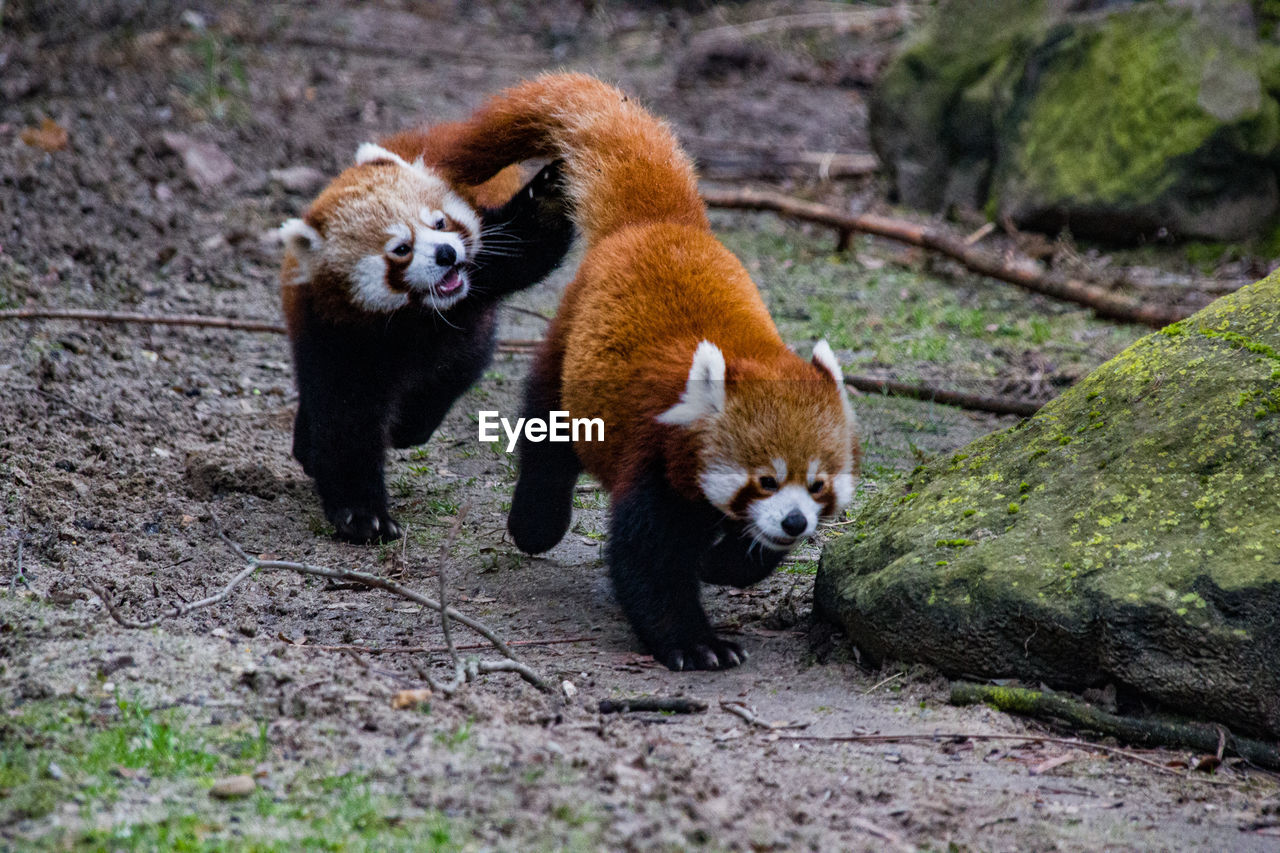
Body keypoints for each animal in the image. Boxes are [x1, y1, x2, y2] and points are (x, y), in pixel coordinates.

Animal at [281, 128, 576, 537]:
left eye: (440, 224)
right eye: (401, 248)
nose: (446, 254)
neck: (415, 317)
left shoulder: (481, 276)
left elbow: (526, 243)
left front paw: (550, 190)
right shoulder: (337, 337)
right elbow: (346, 423)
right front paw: (363, 516)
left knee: (453, 375)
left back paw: (410, 426)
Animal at [435, 73, 865, 666]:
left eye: (817, 484)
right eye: (765, 479)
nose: (795, 520)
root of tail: (658, 222)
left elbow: (744, 554)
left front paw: (723, 563)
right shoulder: (654, 456)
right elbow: (649, 563)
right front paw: (696, 643)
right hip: (567, 342)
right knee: (548, 436)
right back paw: (535, 523)